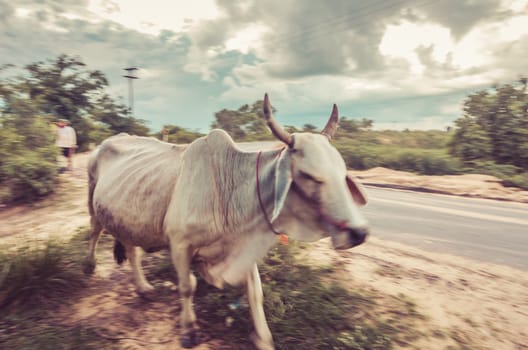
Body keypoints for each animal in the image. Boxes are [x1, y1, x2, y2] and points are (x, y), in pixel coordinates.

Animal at [84, 94, 370, 348]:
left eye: (343, 172)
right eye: (309, 175)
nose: (359, 232)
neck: (228, 191)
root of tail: (109, 141)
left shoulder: (245, 246)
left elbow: (255, 292)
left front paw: (263, 339)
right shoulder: (180, 244)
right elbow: (187, 287)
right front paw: (189, 331)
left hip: (127, 217)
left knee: (132, 251)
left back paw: (143, 287)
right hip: (93, 200)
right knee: (95, 232)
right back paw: (90, 266)